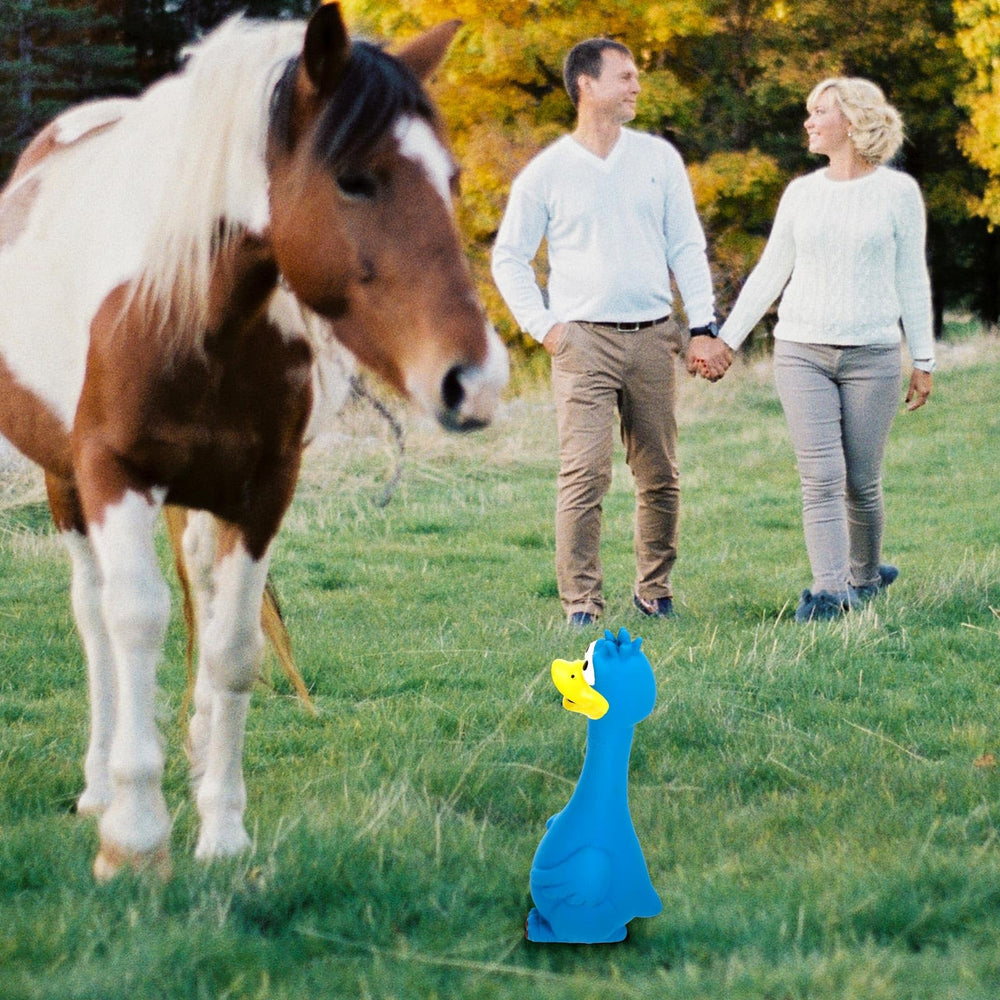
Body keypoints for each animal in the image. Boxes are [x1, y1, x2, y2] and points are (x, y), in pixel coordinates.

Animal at [0, 2, 508, 880]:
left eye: (450, 178)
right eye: (355, 177)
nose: (472, 380)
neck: (187, 310)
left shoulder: (263, 489)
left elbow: (235, 647)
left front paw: (223, 831)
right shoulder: (111, 474)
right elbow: (134, 621)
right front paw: (136, 838)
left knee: (201, 601)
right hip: (64, 484)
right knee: (94, 617)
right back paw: (99, 785)